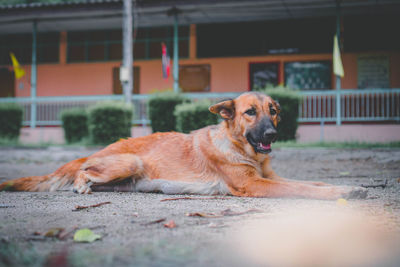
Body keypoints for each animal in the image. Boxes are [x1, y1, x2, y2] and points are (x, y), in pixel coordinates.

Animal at [0, 92, 368, 199]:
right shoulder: (255, 185)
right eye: (250, 113)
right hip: (129, 162)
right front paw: (343, 193)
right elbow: (305, 189)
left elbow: (314, 183)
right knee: (83, 171)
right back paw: (80, 185)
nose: (272, 135)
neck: (238, 146)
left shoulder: (270, 178)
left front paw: (348, 187)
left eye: (273, 111)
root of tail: (96, 150)